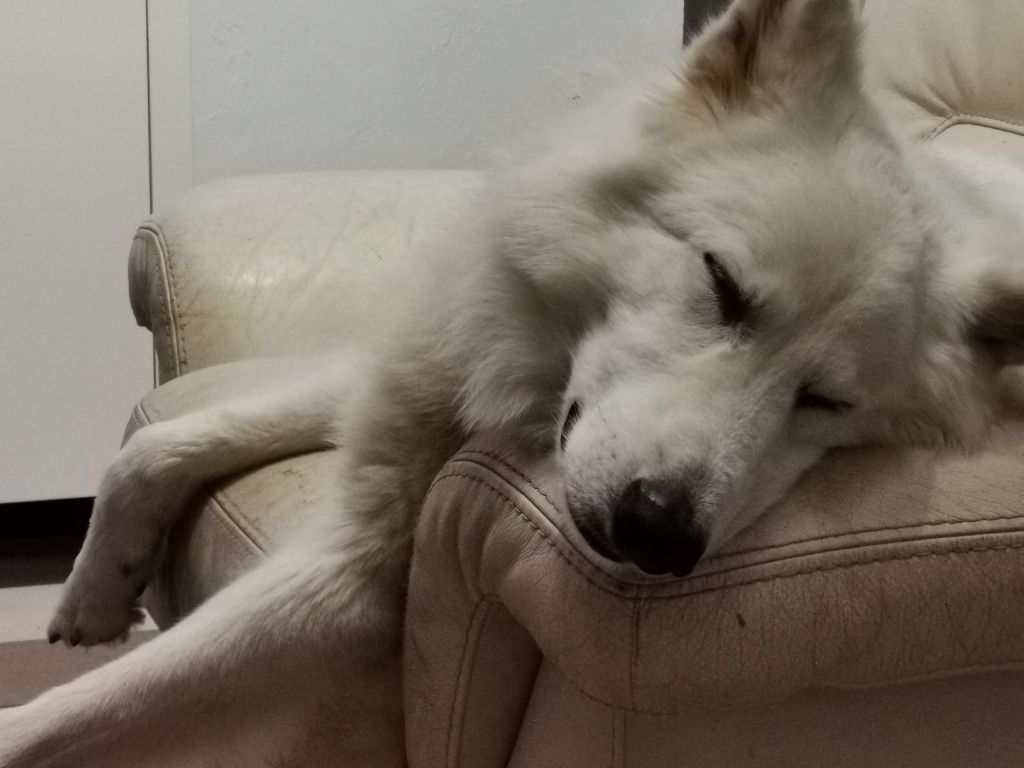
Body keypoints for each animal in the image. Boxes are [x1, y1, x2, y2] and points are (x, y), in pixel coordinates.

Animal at [3, 0, 1023, 764]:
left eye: (830, 404)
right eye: (722, 284)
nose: (659, 535)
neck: (530, 364)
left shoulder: (347, 578)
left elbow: (82, 709)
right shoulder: (409, 378)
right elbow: (157, 443)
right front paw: (96, 589)